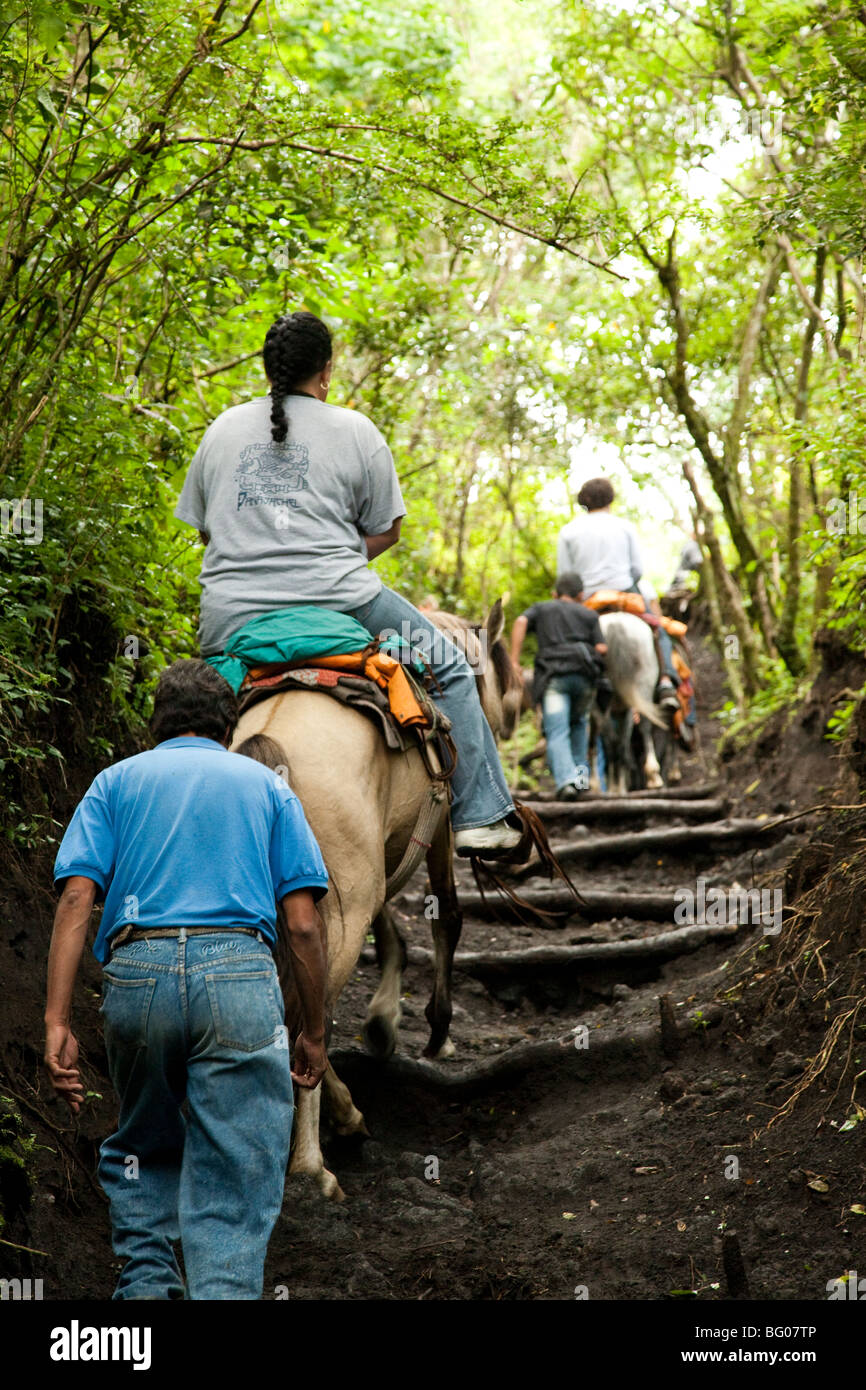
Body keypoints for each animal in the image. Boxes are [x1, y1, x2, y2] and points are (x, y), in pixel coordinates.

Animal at [230, 603, 522, 1200]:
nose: (508, 720)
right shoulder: (439, 824)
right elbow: (447, 915)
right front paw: (436, 1030)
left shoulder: (379, 858)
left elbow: (391, 933)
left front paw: (384, 1022)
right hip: (338, 915)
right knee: (308, 1020)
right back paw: (312, 1166)